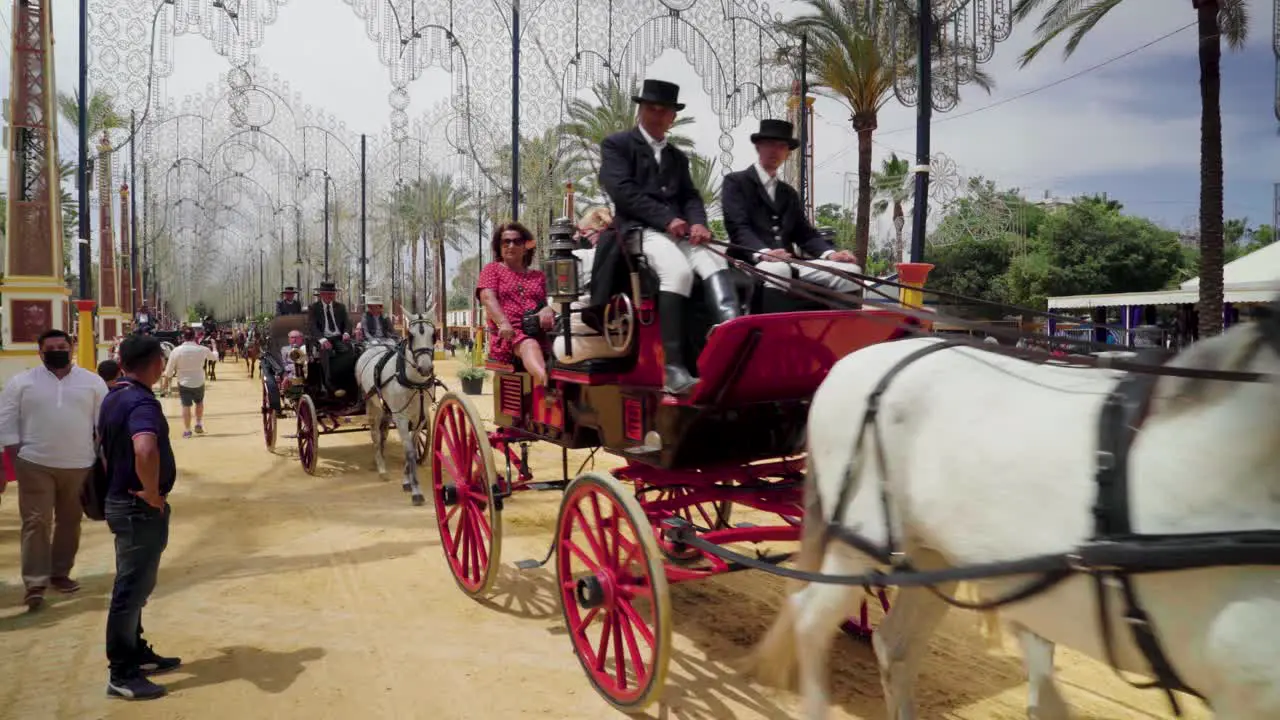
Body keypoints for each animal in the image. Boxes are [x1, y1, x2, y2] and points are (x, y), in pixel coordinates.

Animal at [355, 313, 440, 504]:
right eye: (411, 335)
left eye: (433, 335)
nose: (425, 368)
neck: (415, 383)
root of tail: (373, 346)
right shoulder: (401, 418)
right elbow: (409, 451)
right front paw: (416, 490)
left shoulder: (420, 418)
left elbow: (413, 447)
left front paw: (407, 482)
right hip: (372, 404)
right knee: (375, 434)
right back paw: (381, 467)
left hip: (385, 409)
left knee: (383, 432)